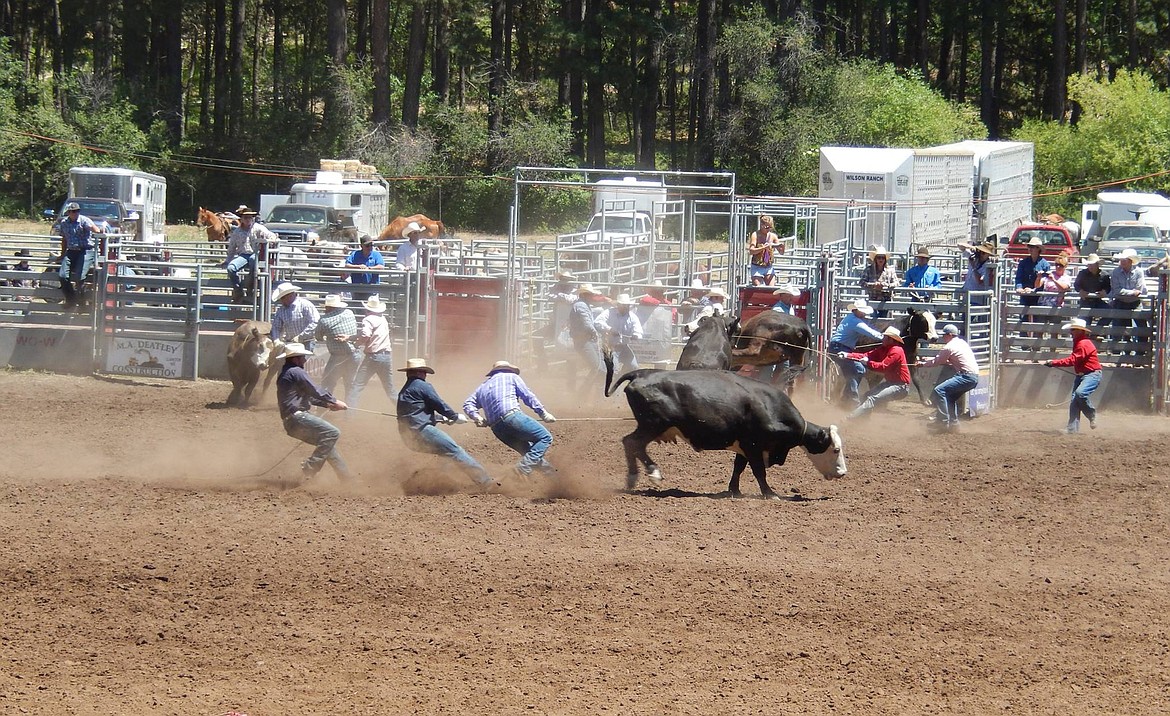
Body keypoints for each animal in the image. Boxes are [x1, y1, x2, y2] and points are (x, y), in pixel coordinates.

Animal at [603, 353, 851, 498]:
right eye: (835, 449)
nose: (842, 473)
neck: (771, 408)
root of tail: (640, 373)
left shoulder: (744, 446)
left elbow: (738, 467)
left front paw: (734, 490)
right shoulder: (753, 445)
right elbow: (759, 471)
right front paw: (770, 494)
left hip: (651, 425)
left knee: (630, 443)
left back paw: (633, 478)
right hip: (653, 424)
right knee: (633, 443)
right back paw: (652, 472)